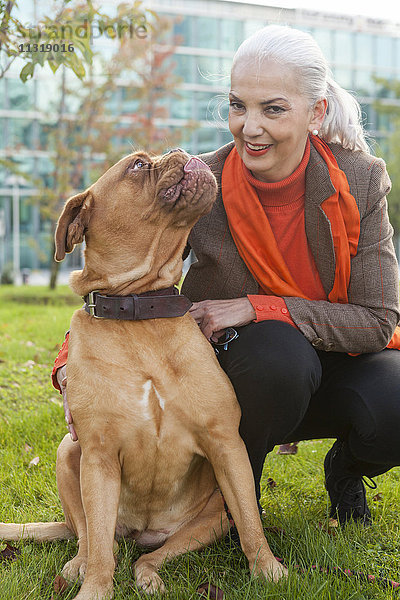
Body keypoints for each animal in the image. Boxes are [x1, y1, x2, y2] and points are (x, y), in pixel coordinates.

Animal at [0, 148, 284, 596]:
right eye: (137, 165)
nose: (182, 151)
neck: (140, 314)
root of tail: (142, 534)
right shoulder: (98, 456)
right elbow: (101, 549)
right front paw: (94, 590)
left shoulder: (226, 444)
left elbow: (251, 523)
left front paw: (268, 570)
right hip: (69, 450)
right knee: (91, 538)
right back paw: (78, 565)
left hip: (211, 519)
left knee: (148, 558)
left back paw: (149, 576)